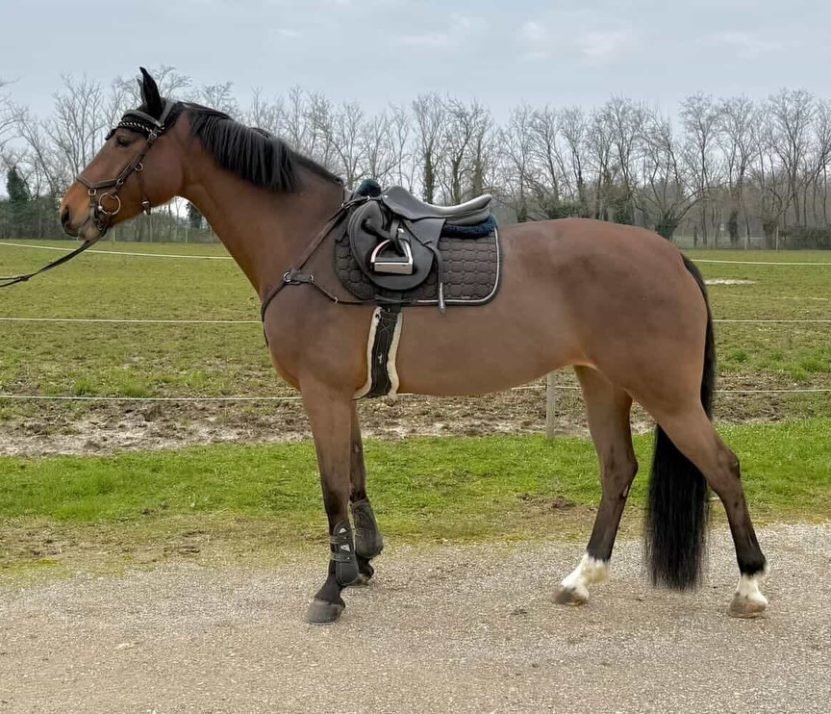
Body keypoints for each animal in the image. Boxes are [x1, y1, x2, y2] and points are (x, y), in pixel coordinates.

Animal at [59, 68, 768, 624]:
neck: (307, 244)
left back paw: (751, 586)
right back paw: (581, 579)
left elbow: (331, 485)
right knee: (618, 470)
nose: (69, 211)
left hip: (665, 393)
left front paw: (332, 587)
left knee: (723, 466)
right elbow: (354, 475)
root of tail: (670, 253)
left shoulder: (320, 392)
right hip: (604, 382)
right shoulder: (340, 394)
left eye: (123, 139)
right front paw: (361, 561)